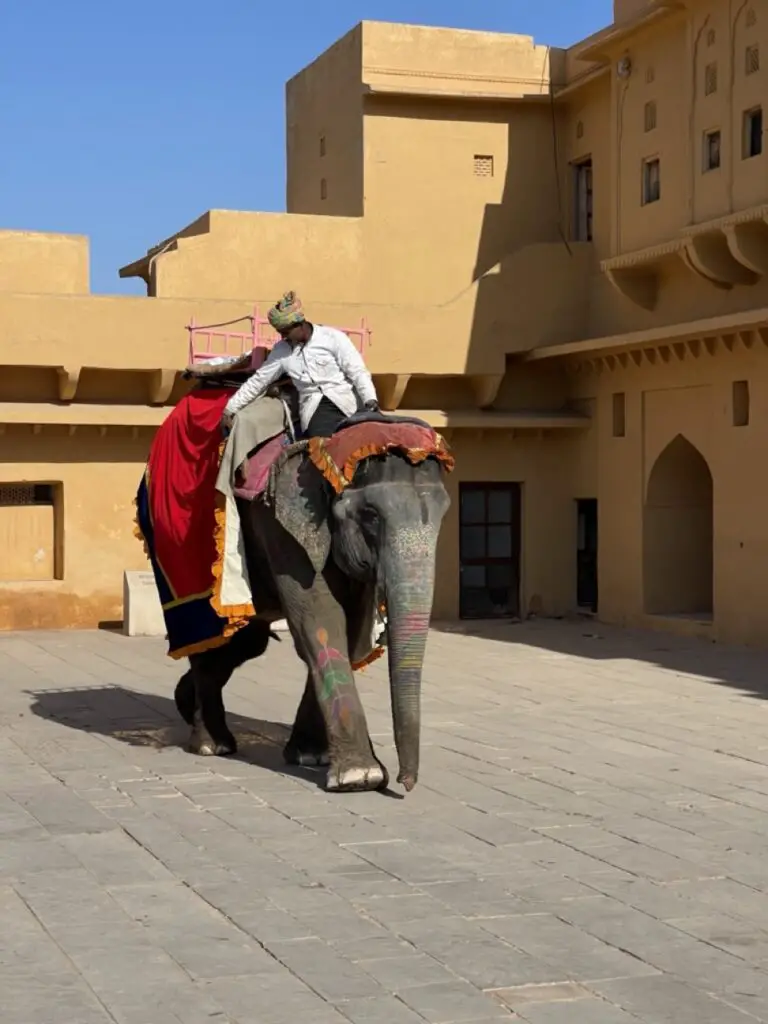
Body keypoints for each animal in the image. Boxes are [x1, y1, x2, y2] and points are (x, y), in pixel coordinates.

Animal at [174, 419, 450, 794]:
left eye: (444, 513)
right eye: (371, 516)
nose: (404, 783)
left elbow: (350, 630)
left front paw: (312, 757)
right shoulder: (281, 526)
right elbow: (321, 617)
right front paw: (360, 777)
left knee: (246, 643)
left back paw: (185, 702)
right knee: (214, 638)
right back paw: (211, 745)